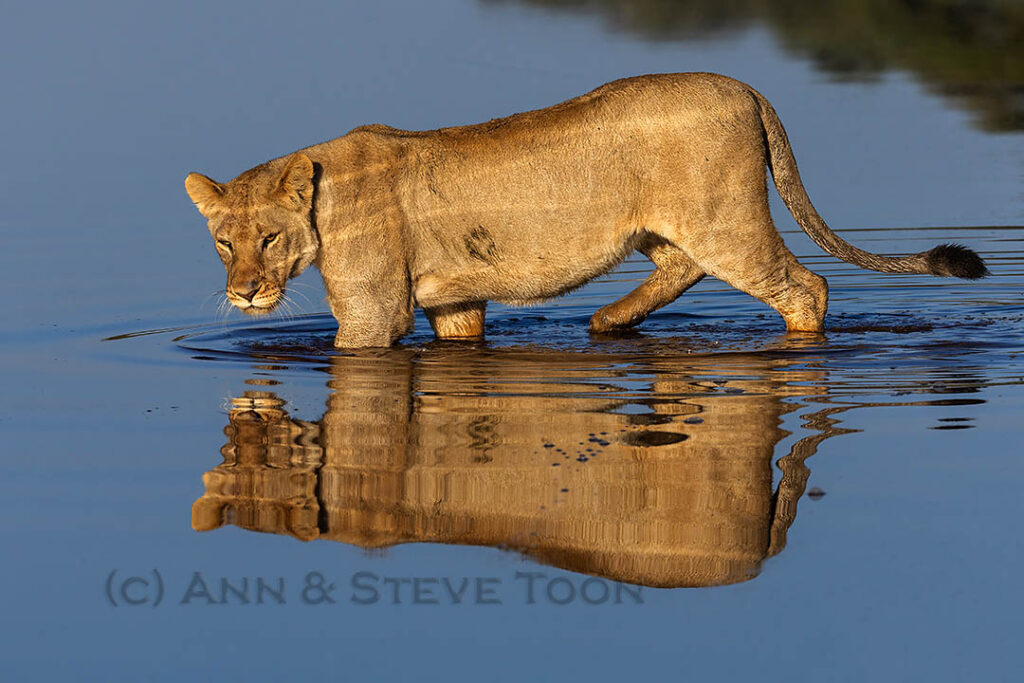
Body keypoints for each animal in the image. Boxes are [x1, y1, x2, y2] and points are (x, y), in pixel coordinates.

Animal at [185, 72, 987, 348]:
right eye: (224, 243)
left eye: (268, 238)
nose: (243, 293)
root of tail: (747, 86)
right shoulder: (455, 303)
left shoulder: (375, 312)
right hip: (667, 226)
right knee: (680, 268)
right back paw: (607, 322)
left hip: (725, 220)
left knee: (805, 286)